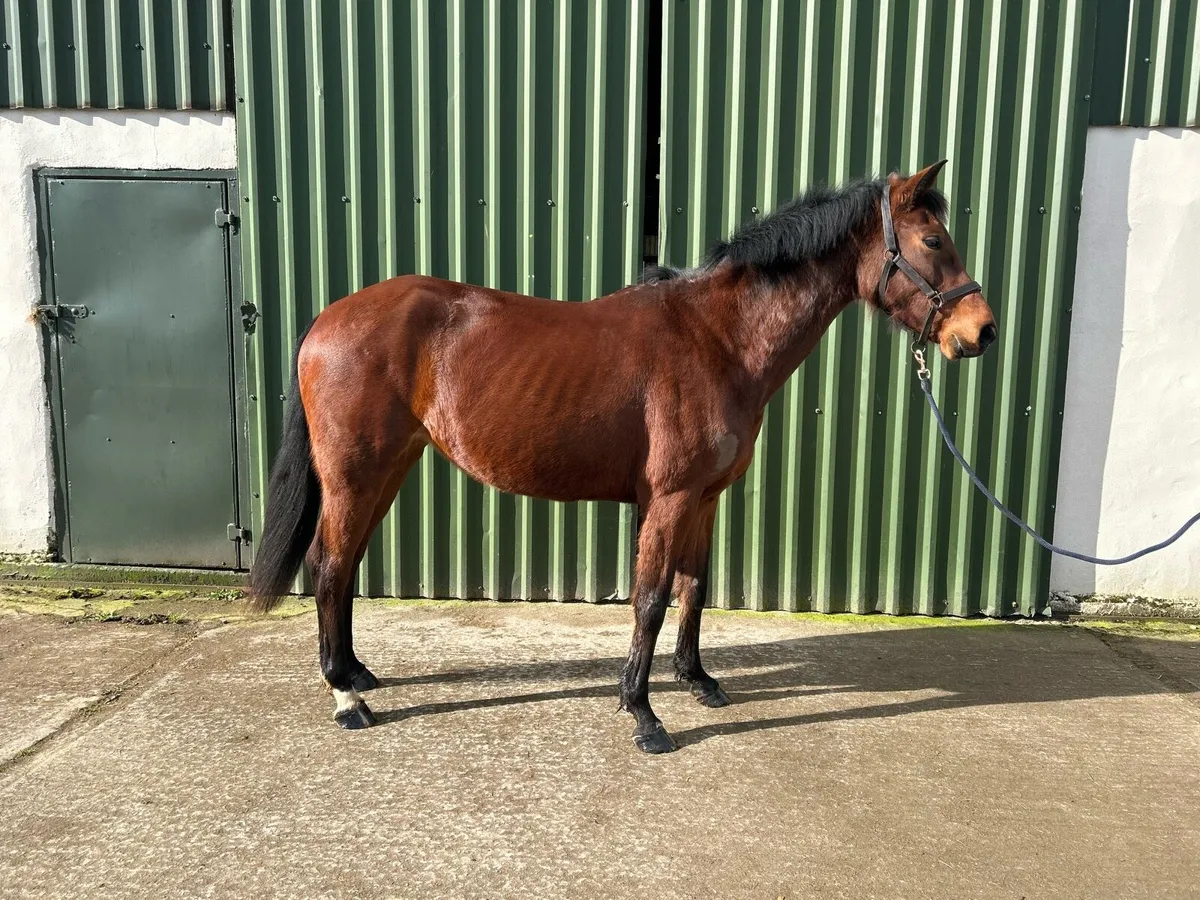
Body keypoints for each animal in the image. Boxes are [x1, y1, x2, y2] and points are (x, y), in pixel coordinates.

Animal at [249, 160, 996, 754]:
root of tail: (328, 319)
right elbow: (651, 599)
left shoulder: (705, 499)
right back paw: (347, 698)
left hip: (387, 470)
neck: (718, 339)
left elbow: (695, 589)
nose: (981, 331)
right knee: (329, 565)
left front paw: (698, 682)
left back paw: (357, 673)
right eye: (933, 240)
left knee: (343, 568)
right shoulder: (667, 498)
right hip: (355, 475)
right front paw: (643, 713)